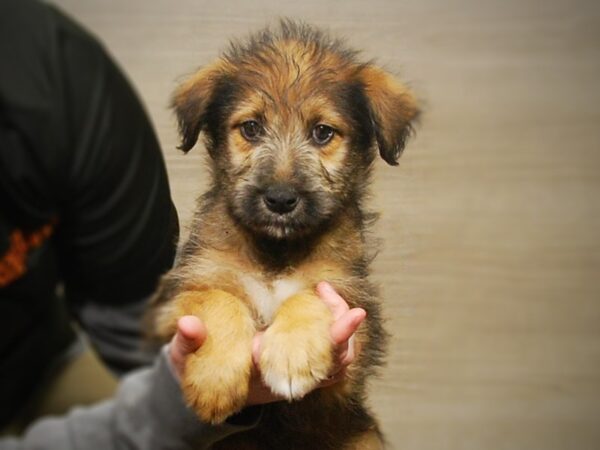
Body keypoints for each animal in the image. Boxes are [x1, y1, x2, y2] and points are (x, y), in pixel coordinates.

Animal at [149, 18, 420, 450]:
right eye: (251, 128)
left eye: (323, 132)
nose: (280, 199)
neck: (275, 252)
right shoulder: (177, 296)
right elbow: (217, 299)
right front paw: (214, 380)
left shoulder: (352, 341)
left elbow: (310, 296)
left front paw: (294, 353)